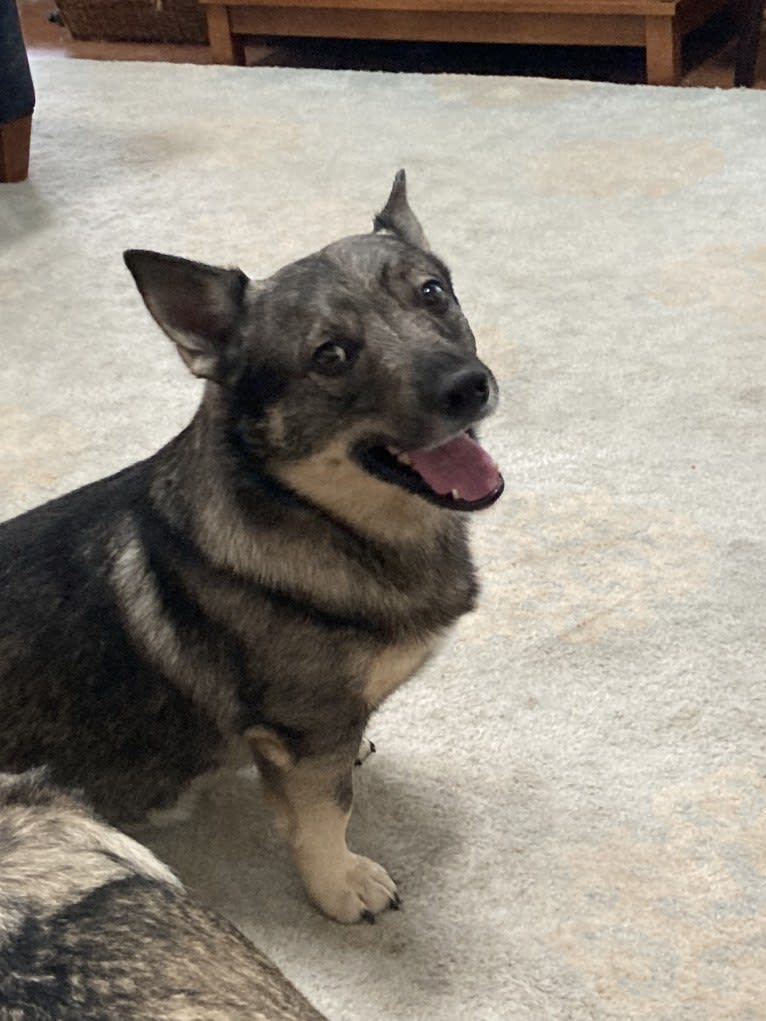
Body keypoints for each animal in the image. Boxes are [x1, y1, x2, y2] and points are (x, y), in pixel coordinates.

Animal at [0, 169, 504, 927]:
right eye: (331, 356)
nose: (470, 386)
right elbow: (326, 815)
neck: (324, 519)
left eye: (431, 293)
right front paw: (340, 882)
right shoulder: (306, 736)